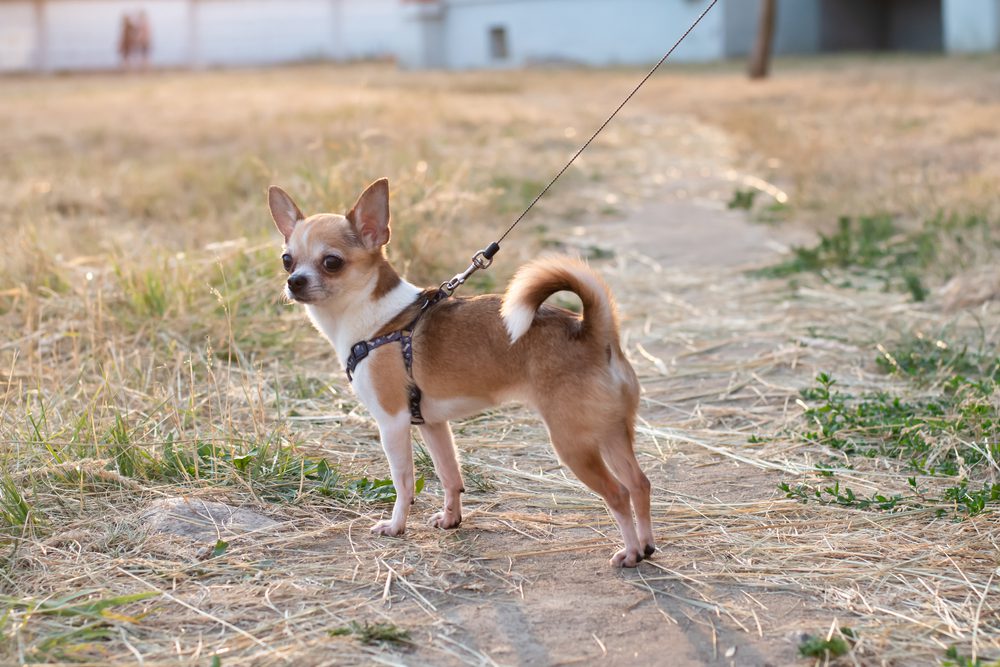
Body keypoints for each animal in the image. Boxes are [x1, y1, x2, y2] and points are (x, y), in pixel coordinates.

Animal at [270, 179, 652, 568]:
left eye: (331, 262)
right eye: (287, 260)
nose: (295, 281)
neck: (374, 320)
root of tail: (590, 330)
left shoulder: (392, 423)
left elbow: (403, 483)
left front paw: (396, 525)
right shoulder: (433, 425)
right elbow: (449, 475)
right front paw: (451, 518)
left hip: (574, 444)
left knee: (618, 494)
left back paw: (631, 551)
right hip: (611, 433)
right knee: (639, 483)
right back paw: (647, 545)